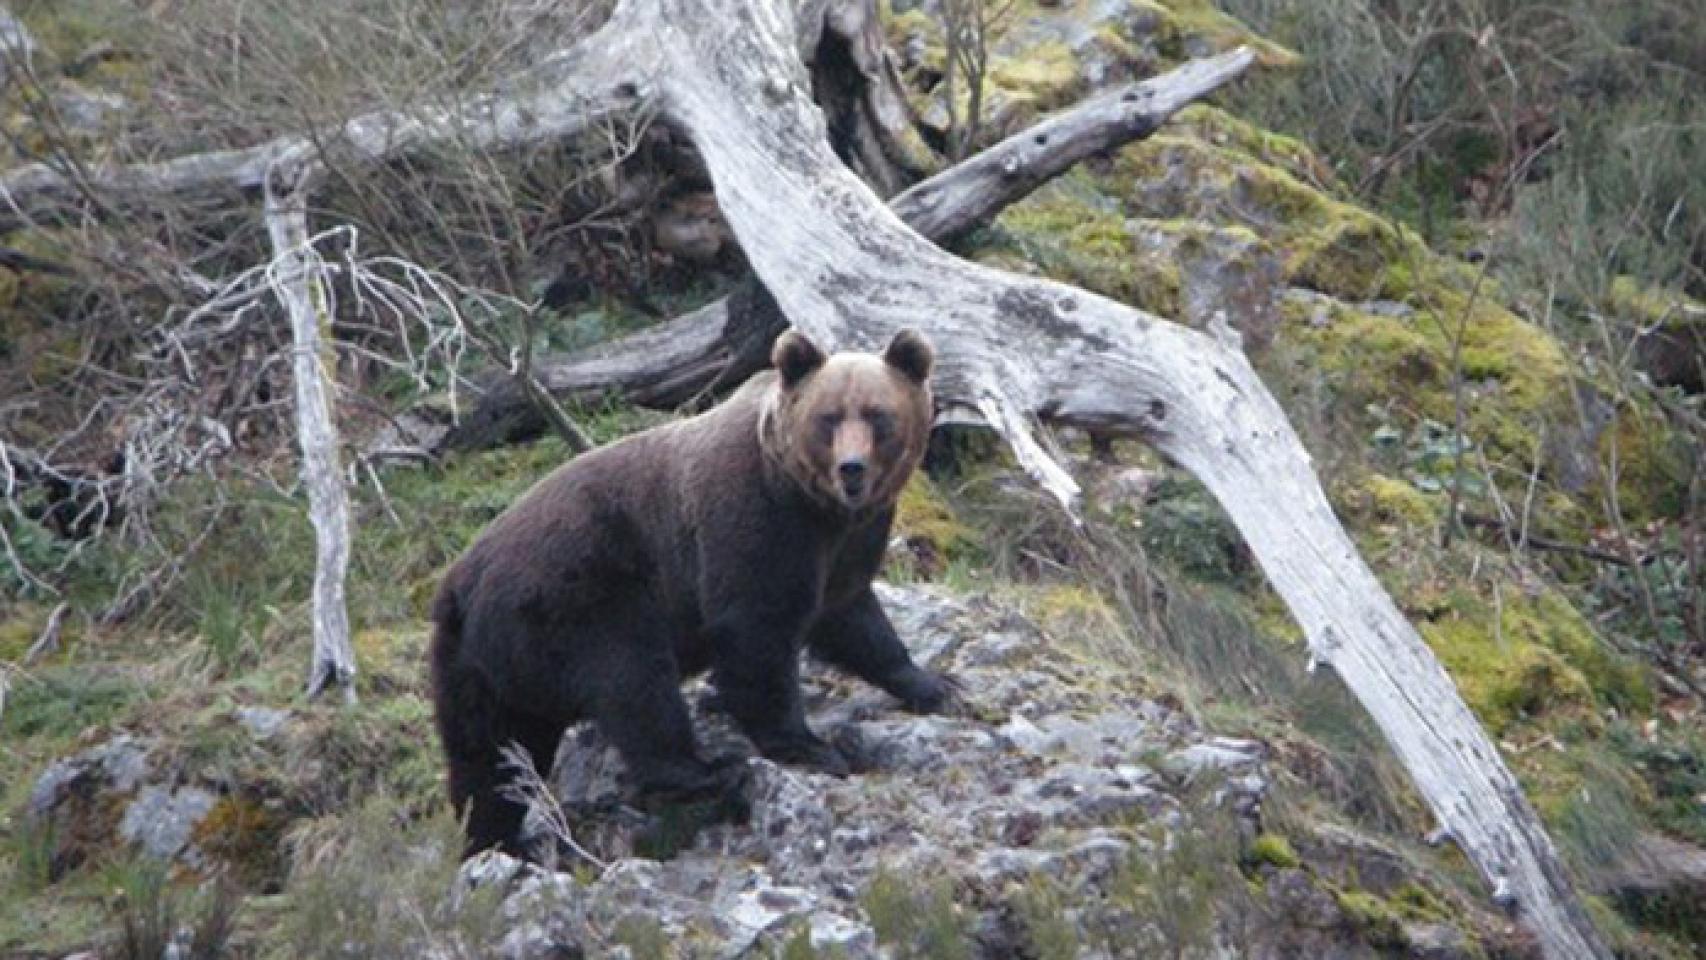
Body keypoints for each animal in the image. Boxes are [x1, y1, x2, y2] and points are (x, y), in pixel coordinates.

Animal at [430, 327, 956, 857]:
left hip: (474, 666)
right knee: (633, 681)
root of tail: (461, 585)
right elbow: (756, 634)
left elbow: (853, 618)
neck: (816, 506)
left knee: (488, 756)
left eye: (878, 414)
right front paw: (810, 746)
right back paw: (705, 771)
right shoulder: (755, 521)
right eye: (828, 418)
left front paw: (934, 684)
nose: (852, 468)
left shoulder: (848, 543)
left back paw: (497, 841)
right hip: (576, 600)